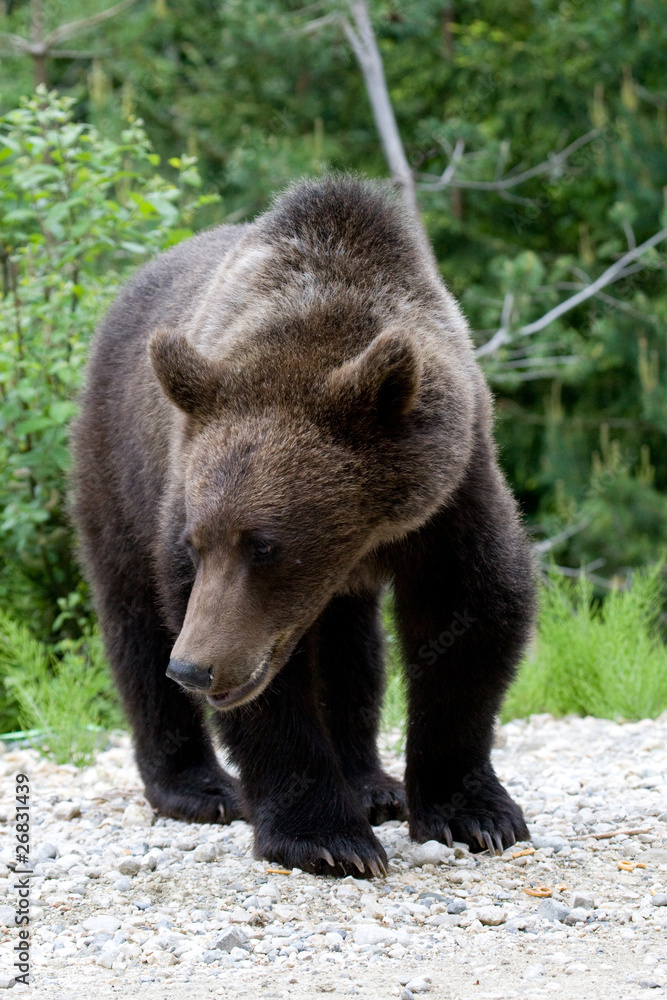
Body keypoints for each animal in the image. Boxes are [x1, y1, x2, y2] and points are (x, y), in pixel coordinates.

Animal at [69, 176, 536, 880]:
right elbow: (267, 687)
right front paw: (326, 837)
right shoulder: (184, 496)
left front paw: (474, 813)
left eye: (265, 545)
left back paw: (373, 784)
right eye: (198, 543)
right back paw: (198, 786)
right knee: (134, 612)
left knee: (350, 646)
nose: (195, 668)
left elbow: (473, 609)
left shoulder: (452, 490)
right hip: (118, 457)